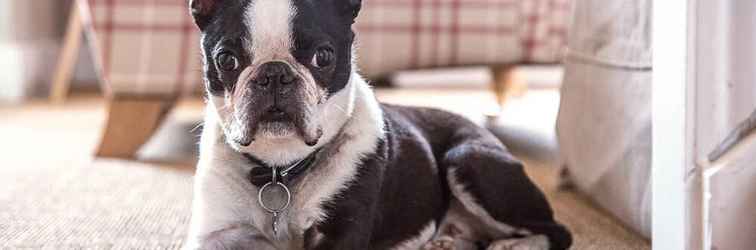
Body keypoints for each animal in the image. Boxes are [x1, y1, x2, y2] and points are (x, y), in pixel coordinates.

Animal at [186, 0, 568, 249]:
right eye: (226, 59)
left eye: (323, 56)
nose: (274, 73)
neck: (280, 170)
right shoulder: (215, 234)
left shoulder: (341, 235)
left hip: (469, 159)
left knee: (558, 231)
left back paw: (513, 246)